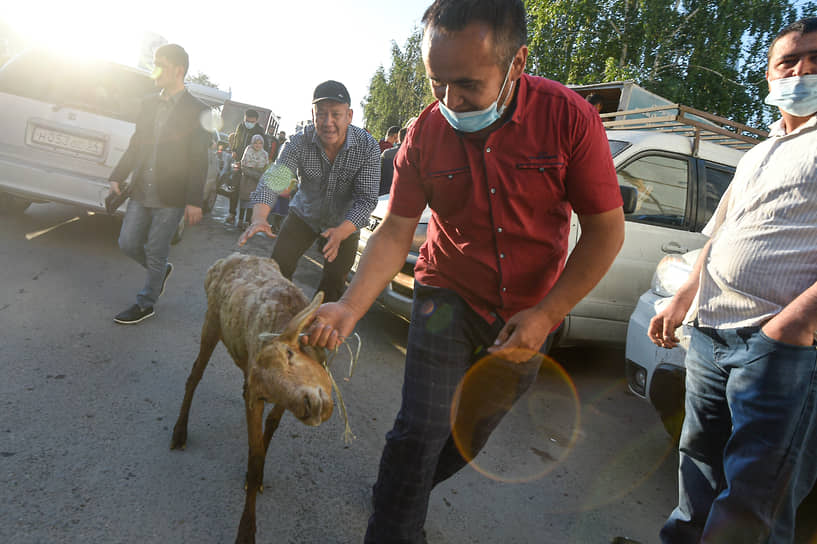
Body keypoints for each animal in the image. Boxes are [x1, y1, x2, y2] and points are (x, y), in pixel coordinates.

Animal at [169, 253, 334, 540]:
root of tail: (227, 259)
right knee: (194, 375)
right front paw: (246, 529)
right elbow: (255, 459)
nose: (309, 406)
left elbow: (272, 425)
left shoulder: (277, 401)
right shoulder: (254, 398)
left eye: (289, 353)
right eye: (265, 390)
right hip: (211, 321)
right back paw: (179, 432)